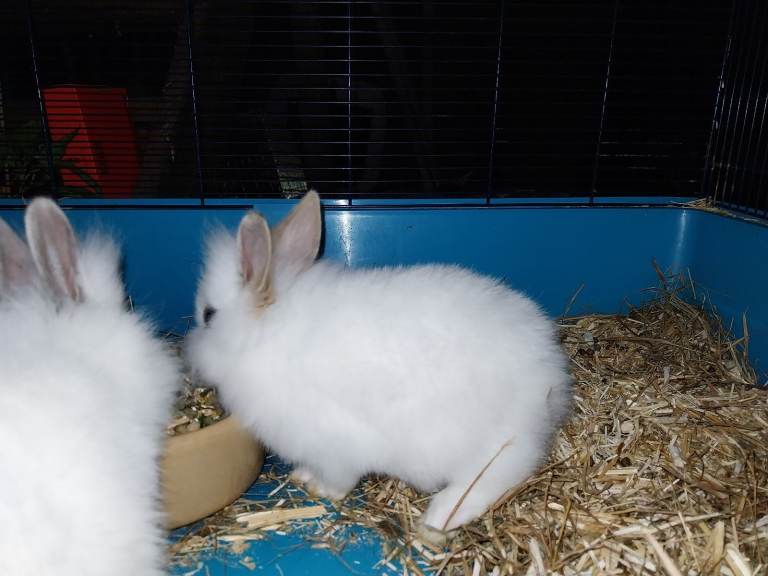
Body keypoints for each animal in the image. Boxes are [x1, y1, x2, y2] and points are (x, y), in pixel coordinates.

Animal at [185, 190, 573, 541]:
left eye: (208, 315)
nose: (188, 355)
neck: (264, 336)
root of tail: (549, 372)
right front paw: (303, 476)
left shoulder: (335, 446)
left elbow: (339, 479)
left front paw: (318, 487)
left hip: (495, 444)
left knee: (497, 476)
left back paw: (439, 518)